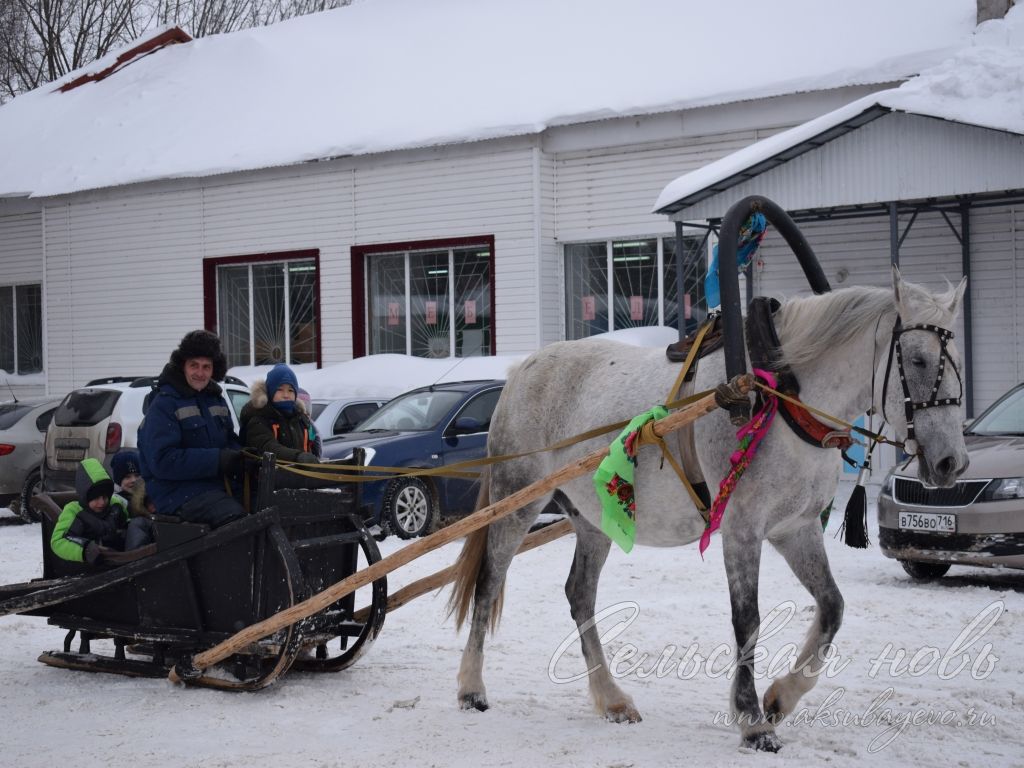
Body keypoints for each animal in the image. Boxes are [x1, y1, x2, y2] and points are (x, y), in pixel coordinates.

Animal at [450, 270, 966, 753]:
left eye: (956, 363)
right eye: (918, 360)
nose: (951, 463)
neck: (781, 396)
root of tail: (522, 367)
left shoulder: (795, 529)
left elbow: (832, 607)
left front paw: (780, 698)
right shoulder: (741, 528)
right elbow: (748, 621)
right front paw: (753, 722)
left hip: (595, 518)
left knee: (580, 594)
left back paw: (611, 698)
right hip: (517, 499)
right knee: (489, 582)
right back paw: (472, 687)